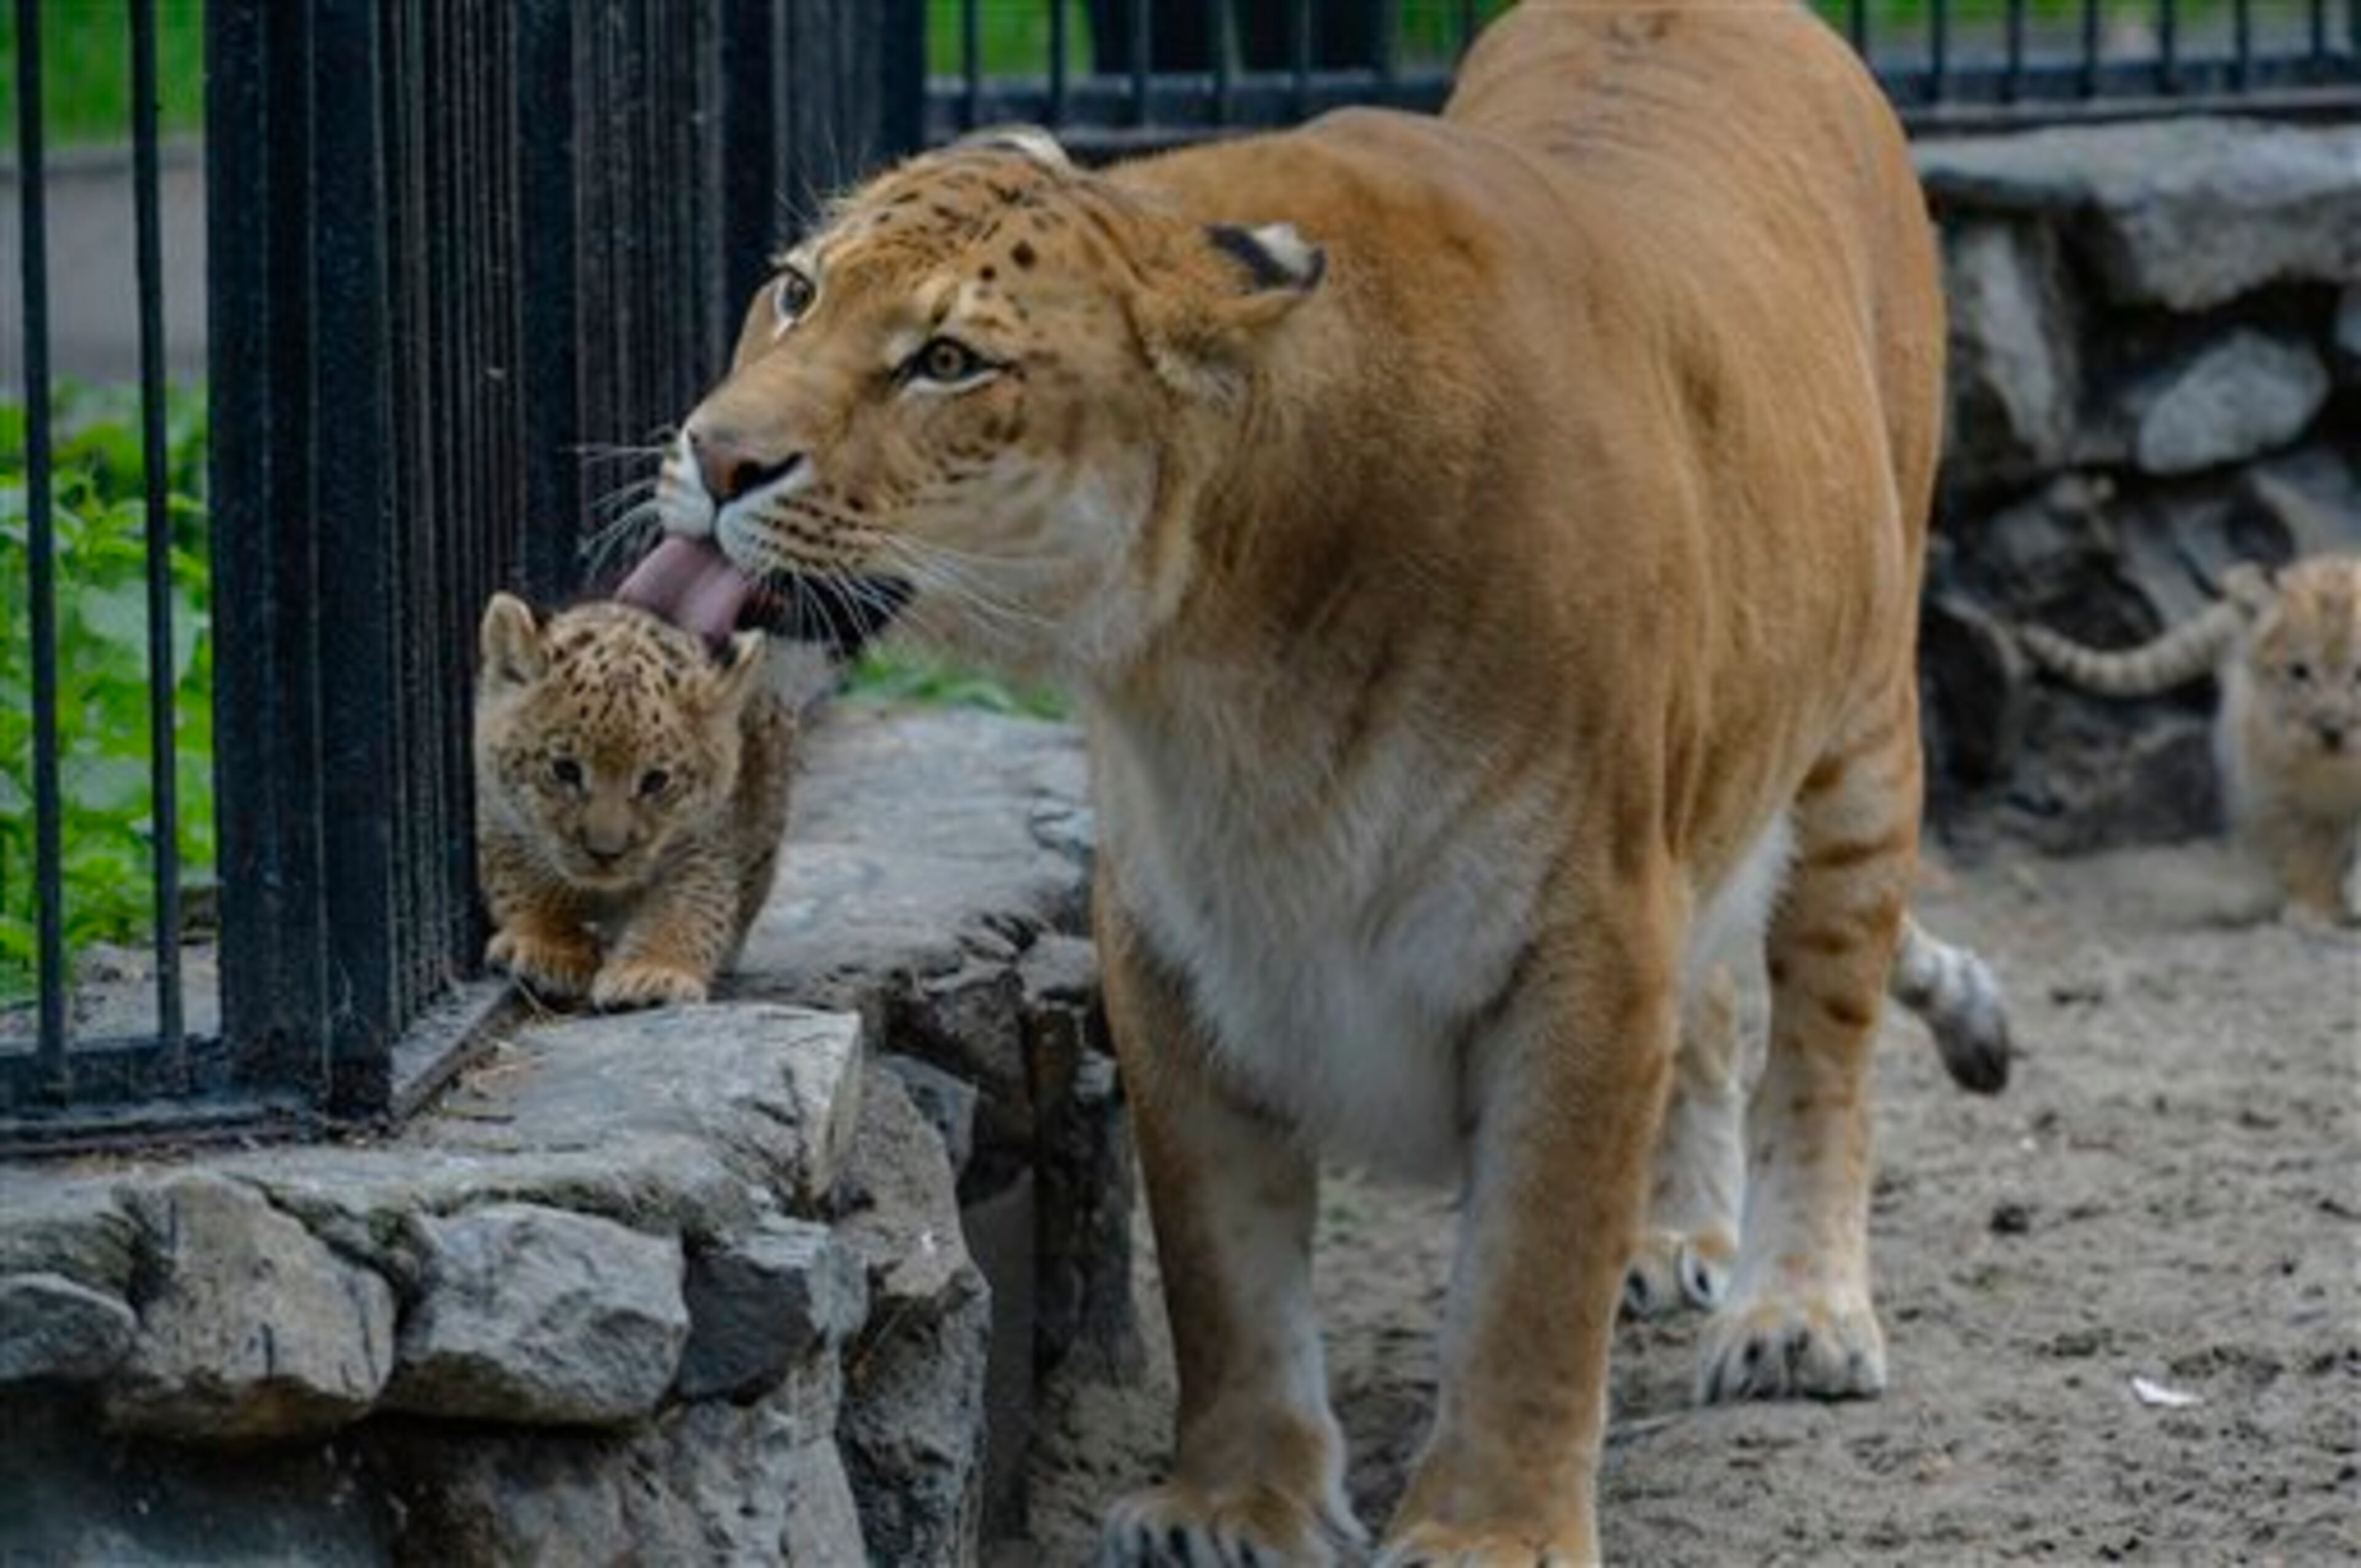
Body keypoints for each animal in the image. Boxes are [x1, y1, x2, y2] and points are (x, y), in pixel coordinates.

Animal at [618, 2, 1948, 1558]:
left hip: (1860, 738)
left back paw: (1796, 1315)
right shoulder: (1175, 937)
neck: (1228, 661)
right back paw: (1677, 1235)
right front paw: (1237, 1506)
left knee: (1824, 1042)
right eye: (794, 290)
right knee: (1722, 1001)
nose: (715, 456)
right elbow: (1224, 1263)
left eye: (947, 361)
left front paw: (1488, 1530)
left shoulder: (1594, 929)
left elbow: (1531, 1277)